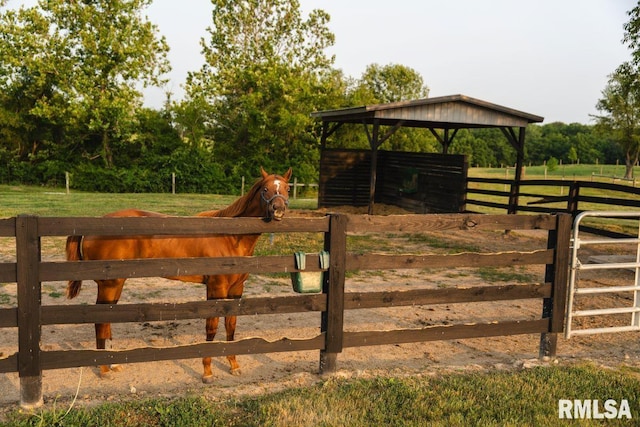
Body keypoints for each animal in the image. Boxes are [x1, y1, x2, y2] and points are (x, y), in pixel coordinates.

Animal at [64, 168, 290, 384]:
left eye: (287, 188)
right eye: (265, 189)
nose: (278, 209)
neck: (230, 237)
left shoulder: (236, 290)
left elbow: (231, 327)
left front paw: (234, 366)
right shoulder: (215, 289)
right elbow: (211, 328)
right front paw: (207, 372)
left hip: (116, 284)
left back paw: (113, 365)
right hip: (109, 285)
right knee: (100, 322)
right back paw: (104, 370)